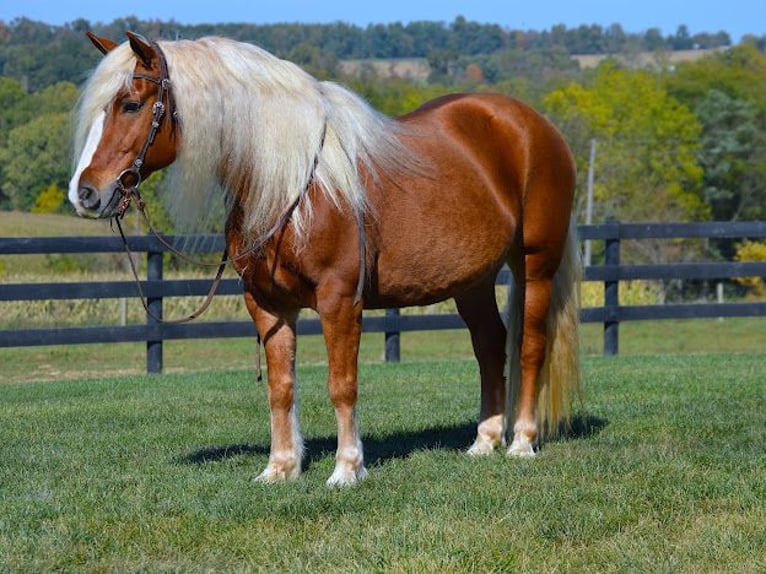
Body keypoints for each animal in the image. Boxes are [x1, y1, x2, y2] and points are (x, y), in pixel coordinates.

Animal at [70, 31, 584, 488]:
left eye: (130, 104)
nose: (85, 193)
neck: (291, 181)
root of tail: (533, 126)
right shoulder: (268, 304)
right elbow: (281, 387)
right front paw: (280, 468)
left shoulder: (339, 301)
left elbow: (342, 384)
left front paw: (346, 470)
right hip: (472, 282)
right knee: (490, 345)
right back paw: (484, 440)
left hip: (536, 263)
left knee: (530, 346)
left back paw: (521, 442)